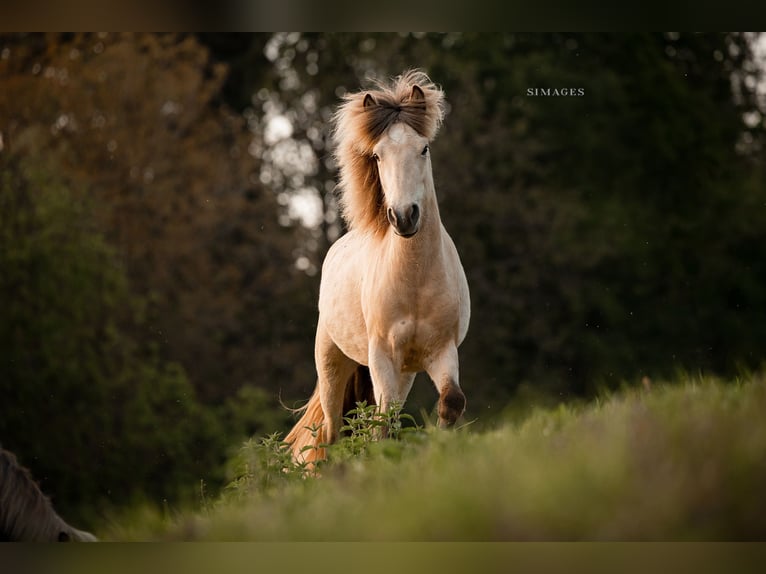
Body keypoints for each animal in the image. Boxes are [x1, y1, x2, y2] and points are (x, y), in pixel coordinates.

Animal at [285, 70, 470, 463]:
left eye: (424, 148)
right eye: (378, 155)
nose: (404, 216)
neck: (415, 280)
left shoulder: (440, 350)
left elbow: (450, 402)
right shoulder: (383, 354)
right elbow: (381, 424)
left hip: (404, 373)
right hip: (333, 363)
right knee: (332, 430)